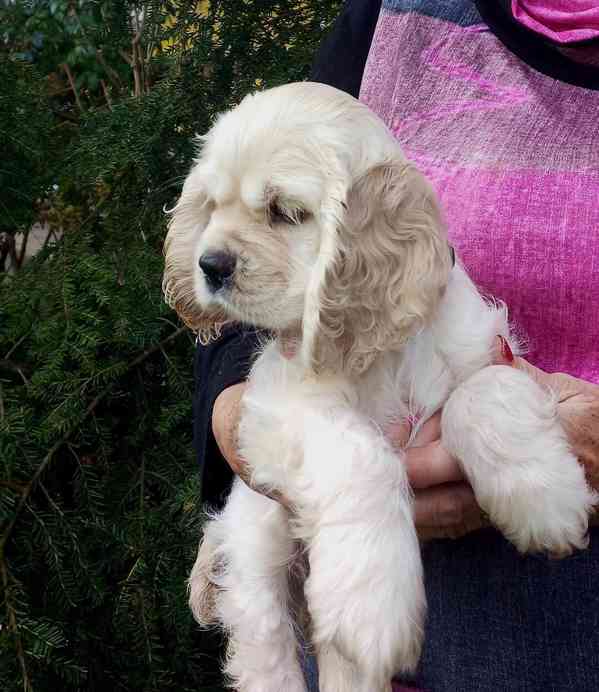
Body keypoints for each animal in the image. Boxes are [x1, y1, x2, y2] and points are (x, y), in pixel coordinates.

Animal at [162, 82, 596, 692]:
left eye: (284, 212)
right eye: (212, 206)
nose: (210, 264)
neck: (378, 353)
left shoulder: (486, 347)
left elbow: (485, 391)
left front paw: (546, 497)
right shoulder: (281, 407)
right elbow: (361, 454)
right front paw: (371, 606)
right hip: (257, 542)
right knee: (262, 639)